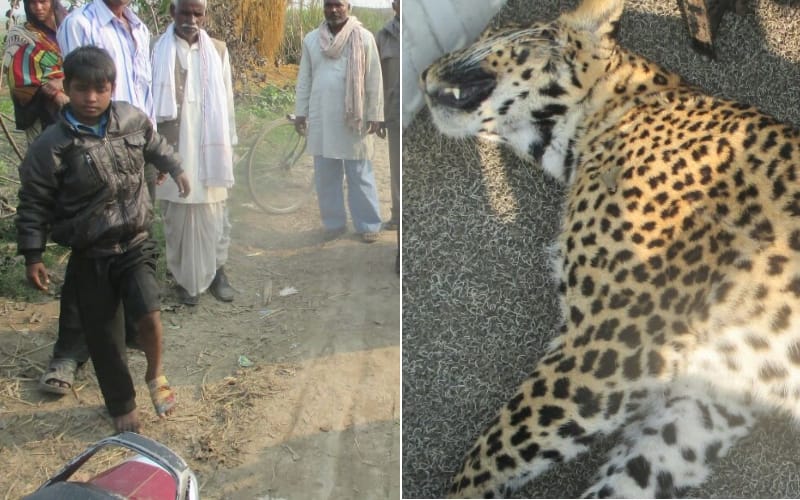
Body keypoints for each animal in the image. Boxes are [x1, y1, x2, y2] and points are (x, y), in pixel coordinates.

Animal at [420, 0, 800, 498]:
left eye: (491, 33)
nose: (422, 72)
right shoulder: (709, 394)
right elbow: (634, 473)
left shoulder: (612, 342)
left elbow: (495, 451)